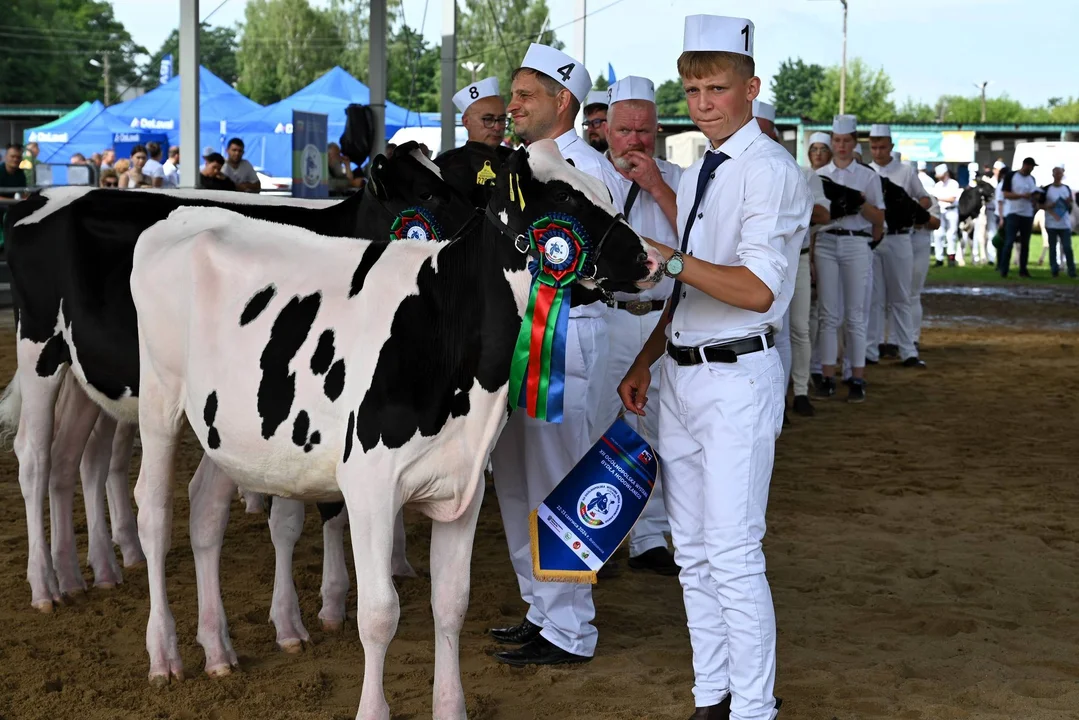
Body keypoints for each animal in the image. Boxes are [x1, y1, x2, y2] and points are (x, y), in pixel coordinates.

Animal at [0, 142, 474, 630]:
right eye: (426, 194)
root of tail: (36, 199)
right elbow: (307, 512)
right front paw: (317, 608)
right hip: (38, 346)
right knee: (34, 456)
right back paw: (45, 585)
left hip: (86, 376)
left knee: (75, 460)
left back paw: (86, 571)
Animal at [130, 138, 660, 716]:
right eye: (563, 195)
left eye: (603, 187)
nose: (651, 258)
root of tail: (188, 214)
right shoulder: (369, 487)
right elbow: (379, 613)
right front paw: (372, 708)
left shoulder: (463, 488)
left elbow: (451, 602)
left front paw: (450, 707)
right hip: (158, 399)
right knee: (154, 513)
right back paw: (163, 656)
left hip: (229, 431)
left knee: (205, 509)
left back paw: (218, 651)